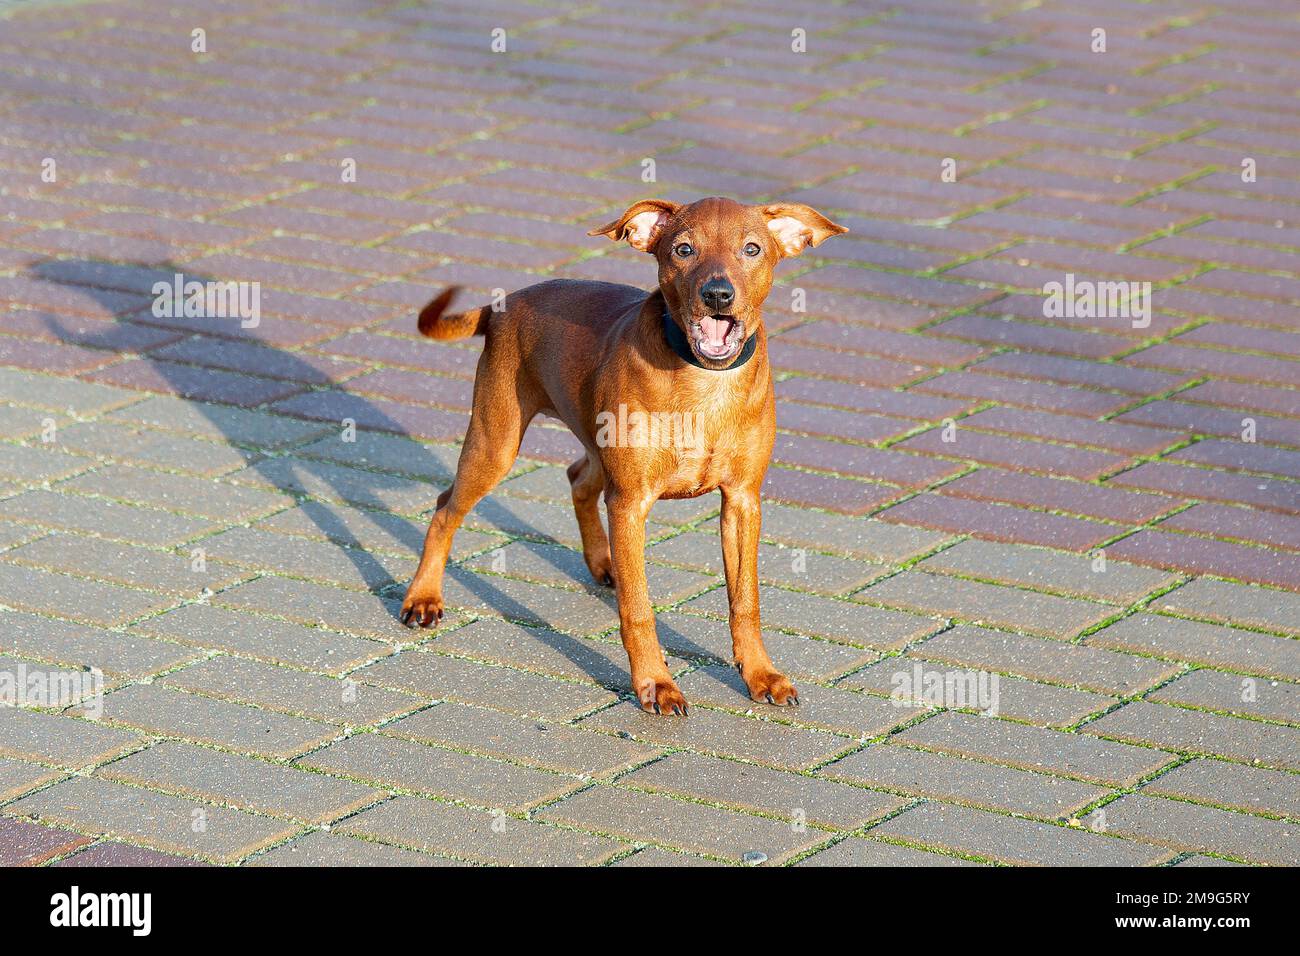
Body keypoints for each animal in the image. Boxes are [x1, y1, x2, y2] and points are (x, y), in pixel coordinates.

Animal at [405, 196, 852, 712]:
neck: (704, 382)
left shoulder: (742, 500)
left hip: (592, 441)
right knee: (445, 508)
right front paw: (656, 683)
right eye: (683, 249)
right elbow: (639, 609)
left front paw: (761, 674)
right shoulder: (631, 502)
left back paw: (605, 563)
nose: (718, 295)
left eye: (752, 249)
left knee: (578, 479)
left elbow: (745, 600)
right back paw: (422, 598)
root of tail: (502, 305)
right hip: (495, 443)